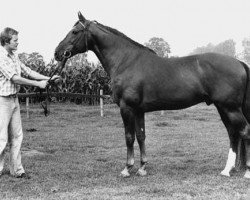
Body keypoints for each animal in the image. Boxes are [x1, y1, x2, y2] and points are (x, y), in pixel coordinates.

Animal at [54, 12, 250, 178]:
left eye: (75, 31)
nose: (57, 53)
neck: (126, 61)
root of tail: (239, 62)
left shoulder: (127, 108)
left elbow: (129, 137)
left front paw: (127, 168)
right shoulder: (139, 110)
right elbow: (141, 136)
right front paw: (142, 167)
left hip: (229, 108)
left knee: (245, 131)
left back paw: (246, 171)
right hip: (223, 108)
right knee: (233, 134)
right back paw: (227, 170)